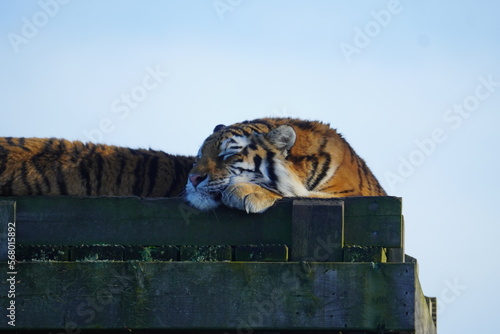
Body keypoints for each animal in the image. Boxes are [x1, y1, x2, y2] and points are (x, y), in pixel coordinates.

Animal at [188, 117, 386, 211]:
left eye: (228, 154)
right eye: (199, 157)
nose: (193, 178)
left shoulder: (346, 194)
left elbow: (297, 193)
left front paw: (245, 190)